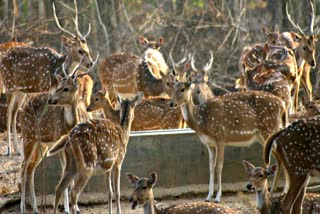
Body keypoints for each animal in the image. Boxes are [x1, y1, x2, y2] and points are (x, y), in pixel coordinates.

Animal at [0, 0, 93, 156]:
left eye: (88, 50)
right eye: (80, 51)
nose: (91, 63)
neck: (59, 68)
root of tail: (2, 59)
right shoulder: (45, 86)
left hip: (21, 91)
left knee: (14, 113)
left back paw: (17, 150)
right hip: (9, 86)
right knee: (8, 112)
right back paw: (8, 150)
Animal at [18, 56, 98, 214]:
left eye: (66, 88)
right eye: (58, 85)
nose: (50, 99)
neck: (69, 125)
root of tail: (22, 108)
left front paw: (76, 207)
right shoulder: (59, 141)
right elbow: (64, 173)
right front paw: (67, 208)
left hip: (41, 145)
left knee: (30, 168)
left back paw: (35, 208)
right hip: (29, 136)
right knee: (23, 167)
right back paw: (23, 208)